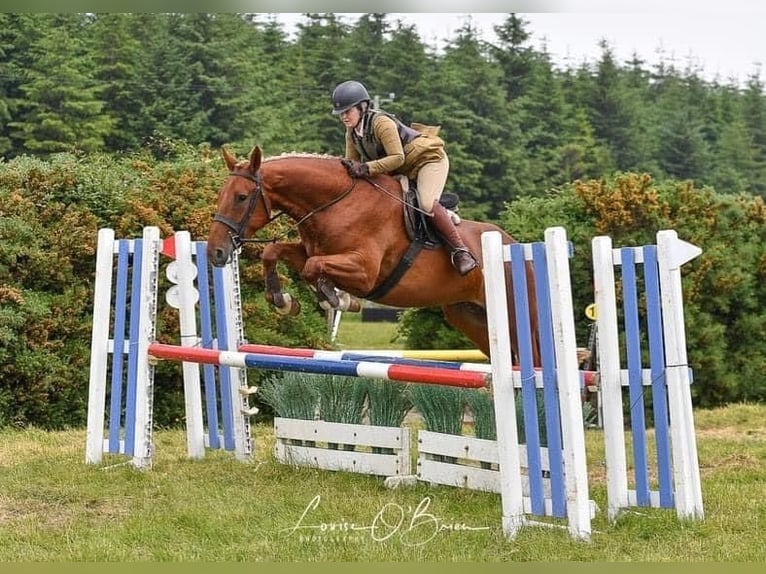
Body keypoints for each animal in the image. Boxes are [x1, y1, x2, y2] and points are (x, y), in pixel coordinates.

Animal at [204, 145, 540, 364]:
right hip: (470, 318)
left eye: (241, 197)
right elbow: (275, 252)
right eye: (221, 195)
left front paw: (334, 297)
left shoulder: (365, 272)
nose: (216, 252)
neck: (336, 204)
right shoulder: (312, 251)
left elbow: (314, 267)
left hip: (518, 315)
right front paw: (283, 300)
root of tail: (516, 246)